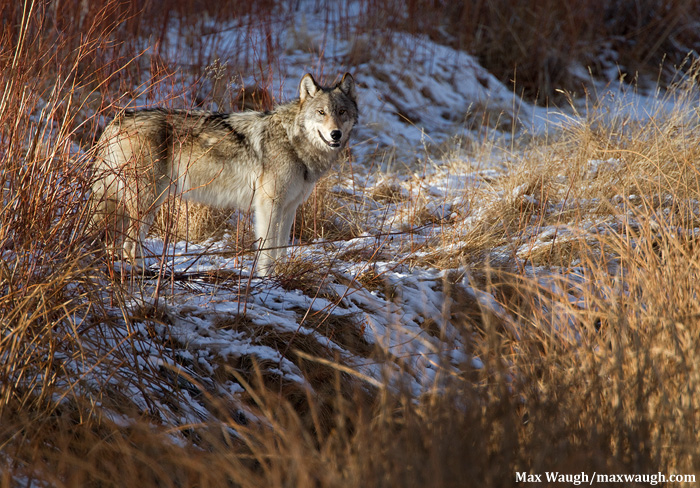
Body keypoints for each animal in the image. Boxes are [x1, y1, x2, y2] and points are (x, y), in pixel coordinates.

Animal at [92, 73, 358, 276]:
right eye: (321, 112)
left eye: (342, 112)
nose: (335, 134)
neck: (293, 141)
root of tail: (115, 122)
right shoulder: (268, 204)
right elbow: (268, 249)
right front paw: (266, 278)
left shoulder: (289, 207)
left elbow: (281, 248)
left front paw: (282, 274)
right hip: (148, 200)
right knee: (127, 245)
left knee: (115, 243)